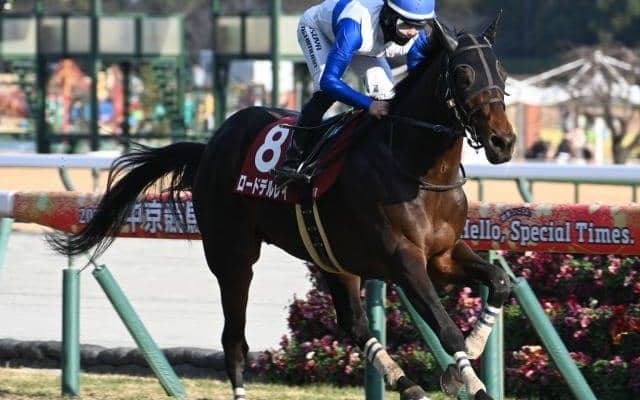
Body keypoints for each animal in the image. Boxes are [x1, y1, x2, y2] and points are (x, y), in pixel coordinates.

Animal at [48, 16, 515, 400]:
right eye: (463, 74)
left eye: (503, 73)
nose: (503, 142)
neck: (417, 168)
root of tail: (210, 145)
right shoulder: (403, 260)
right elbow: (446, 328)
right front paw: (468, 380)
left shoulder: (442, 255)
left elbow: (498, 283)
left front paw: (468, 357)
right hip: (233, 256)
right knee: (234, 340)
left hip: (332, 259)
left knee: (354, 324)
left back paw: (411, 387)